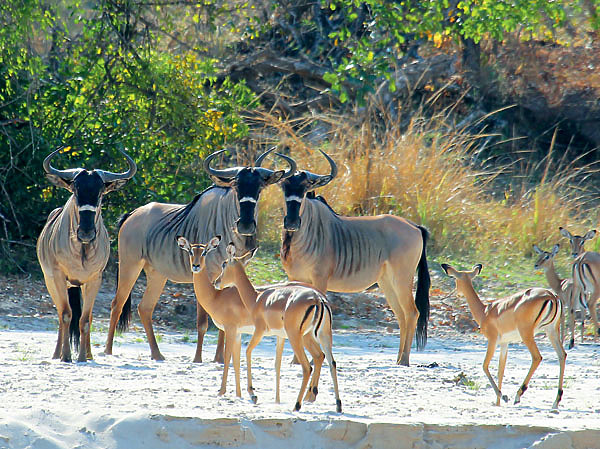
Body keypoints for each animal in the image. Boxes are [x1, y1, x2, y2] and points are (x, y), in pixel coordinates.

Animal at [37, 147, 137, 360]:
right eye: (76, 189)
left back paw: (89, 354)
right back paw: (57, 354)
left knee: (85, 316)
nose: (86, 233)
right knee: (61, 313)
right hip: (52, 282)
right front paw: (66, 356)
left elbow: (84, 319)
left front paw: (83, 357)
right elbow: (66, 314)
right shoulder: (58, 277)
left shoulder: (93, 280)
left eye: (100, 192)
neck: (82, 251)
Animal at [105, 149, 298, 362]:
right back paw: (108, 350)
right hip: (130, 266)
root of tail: (131, 215)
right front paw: (199, 358)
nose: (246, 225)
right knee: (117, 304)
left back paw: (157, 354)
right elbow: (203, 322)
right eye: (236, 186)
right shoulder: (208, 277)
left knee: (145, 308)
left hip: (157, 274)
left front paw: (220, 358)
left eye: (259, 187)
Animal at [176, 236, 340, 412]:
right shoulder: (240, 333)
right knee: (325, 359)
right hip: (316, 335)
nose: (196, 266)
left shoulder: (232, 329)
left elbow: (229, 358)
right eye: (190, 251)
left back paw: (301, 402)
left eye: (205, 252)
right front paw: (240, 394)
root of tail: (319, 298)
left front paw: (226, 392)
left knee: (310, 363)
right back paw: (322, 400)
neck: (216, 297)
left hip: (298, 336)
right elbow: (237, 361)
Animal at [278, 149, 428, 366]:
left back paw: (404, 360)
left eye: (305, 189)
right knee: (401, 316)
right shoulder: (295, 279)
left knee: (411, 312)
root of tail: (415, 226)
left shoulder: (319, 280)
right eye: (284, 187)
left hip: (402, 278)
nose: (291, 222)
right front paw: (296, 361)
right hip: (387, 282)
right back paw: (399, 358)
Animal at [442, 262, 564, 410]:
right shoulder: (504, 343)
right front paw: (497, 402)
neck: (485, 312)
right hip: (552, 331)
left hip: (527, 334)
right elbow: (501, 369)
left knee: (537, 357)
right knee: (562, 355)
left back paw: (518, 396)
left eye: (455, 279)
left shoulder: (492, 340)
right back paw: (555, 402)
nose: (452, 294)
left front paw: (503, 396)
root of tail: (551, 296)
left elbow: (485, 365)